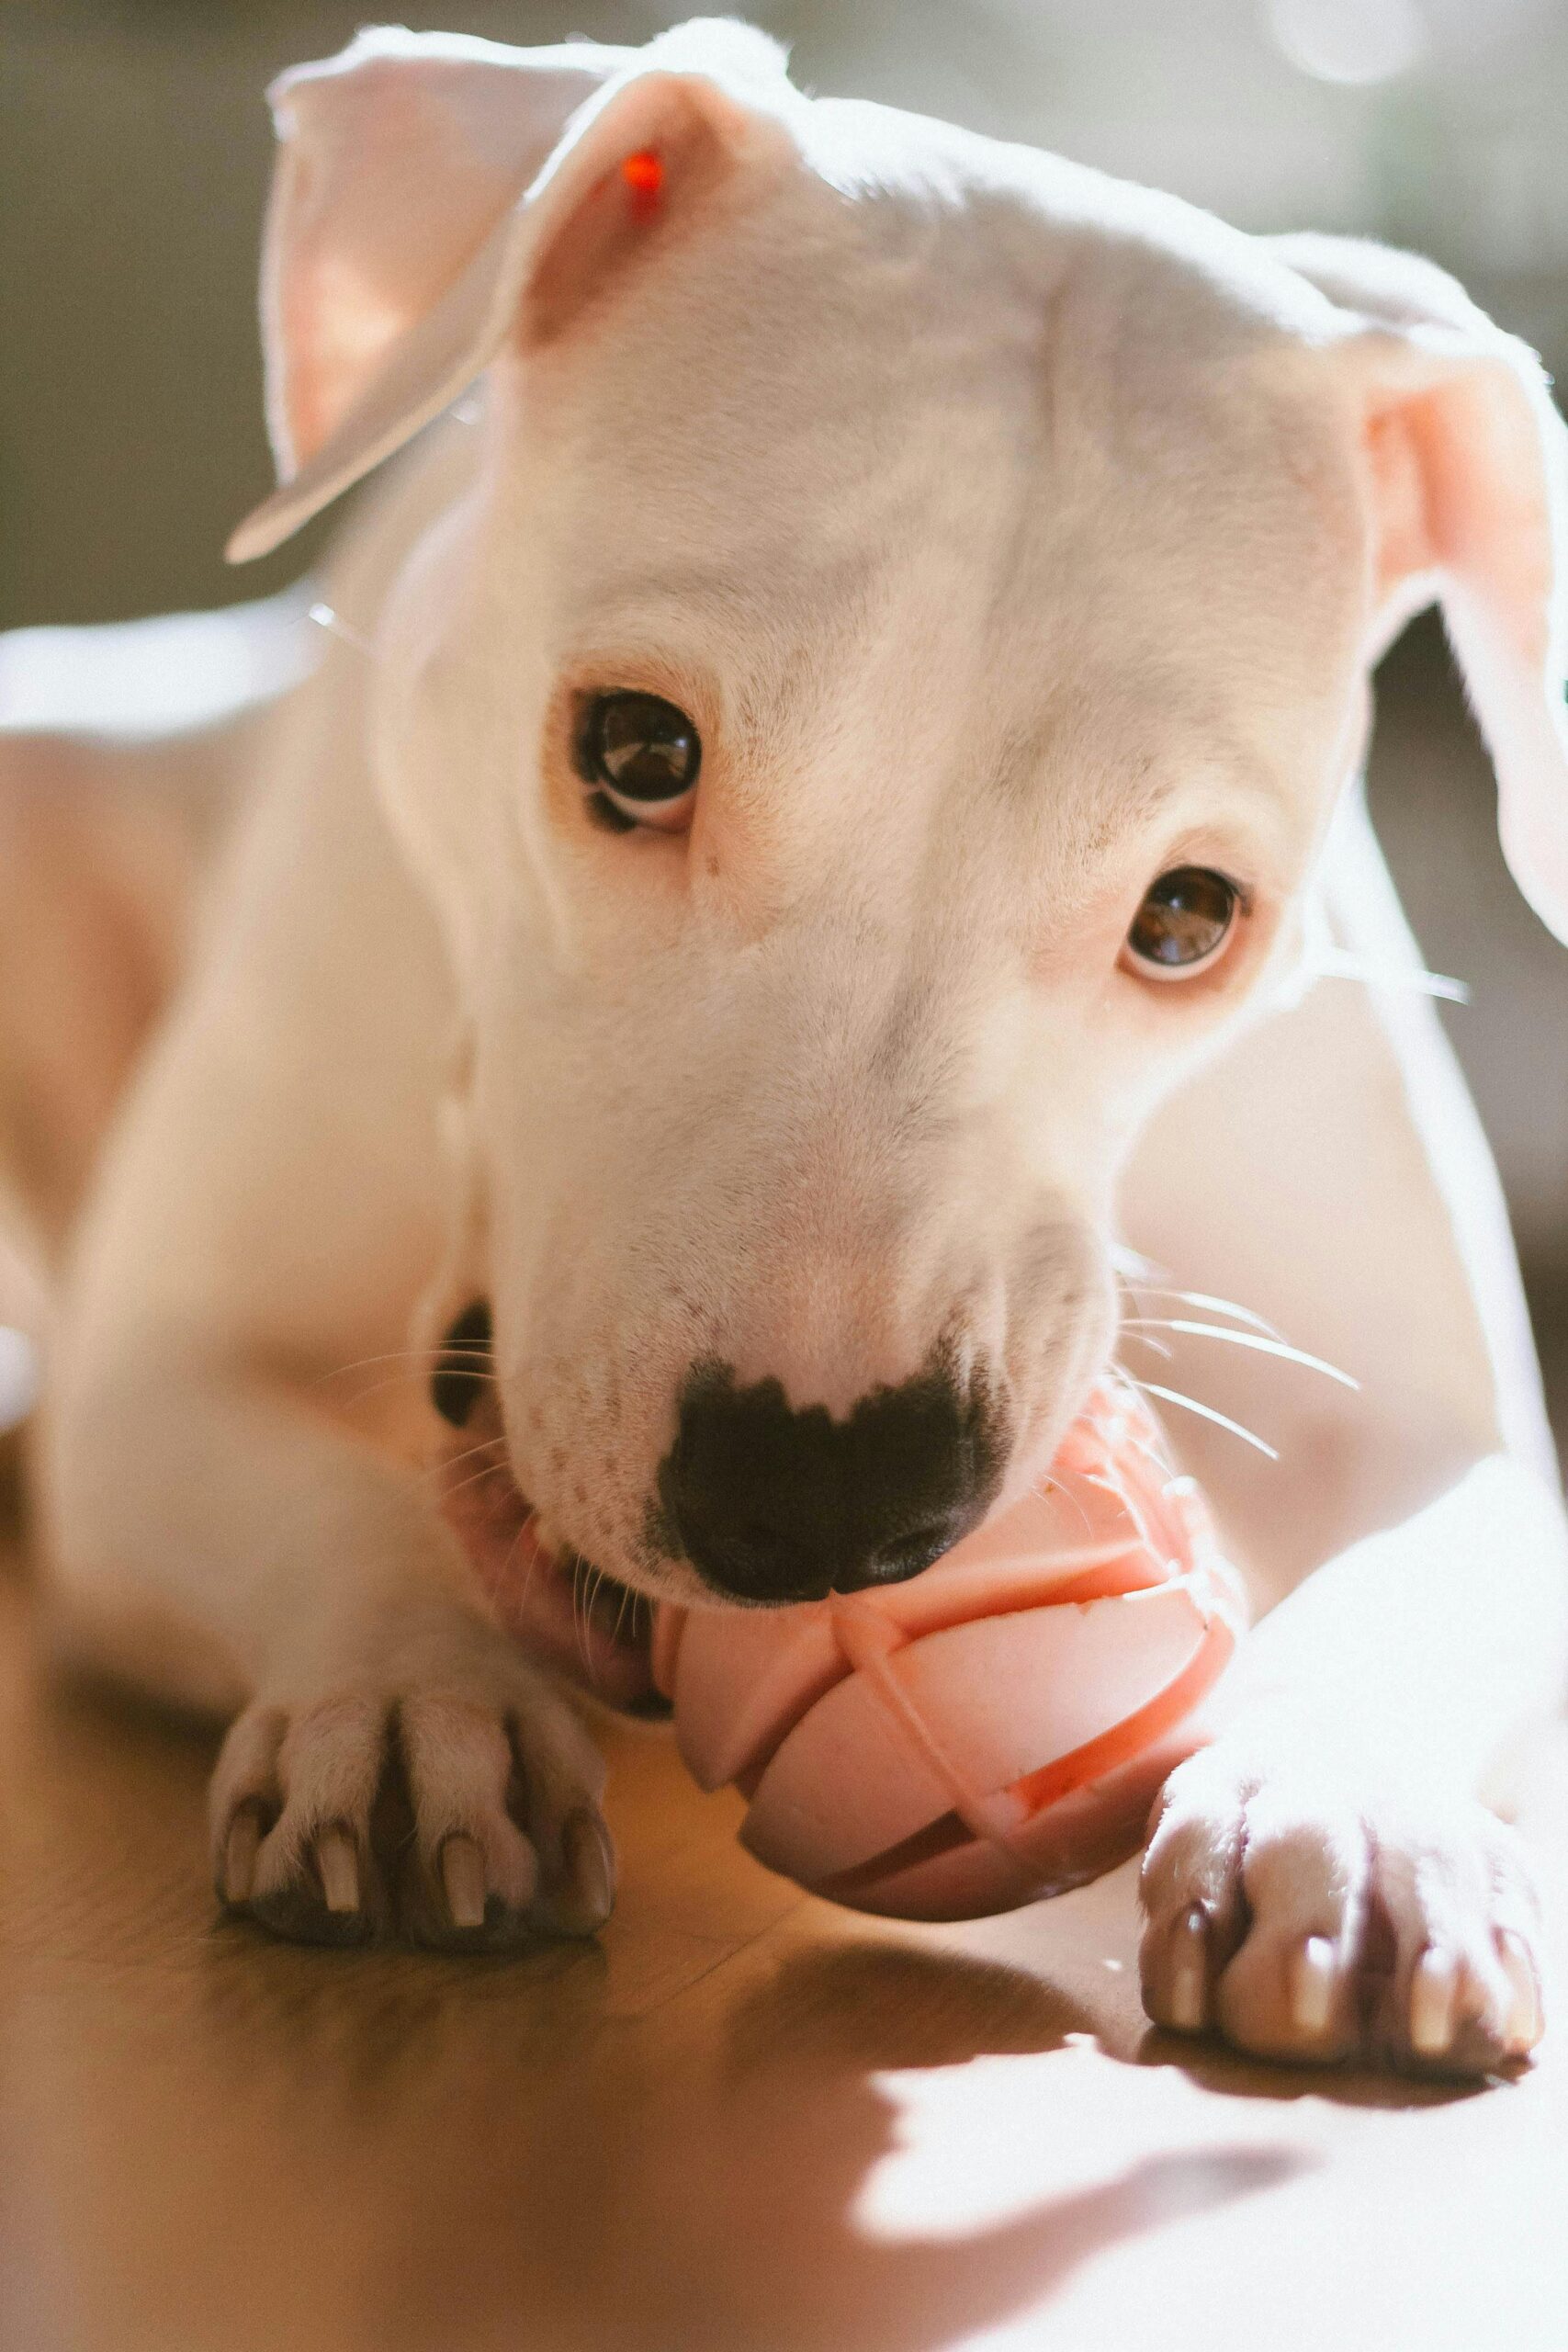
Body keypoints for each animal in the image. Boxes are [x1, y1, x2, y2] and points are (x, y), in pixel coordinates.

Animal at [12, 22, 1568, 2079]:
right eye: (634, 750)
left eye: (1186, 916)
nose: (829, 1490)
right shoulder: (164, 1382)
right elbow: (321, 1501)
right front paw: (412, 1690)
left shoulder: (1435, 1433)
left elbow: (1419, 1577)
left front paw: (1351, 1814)